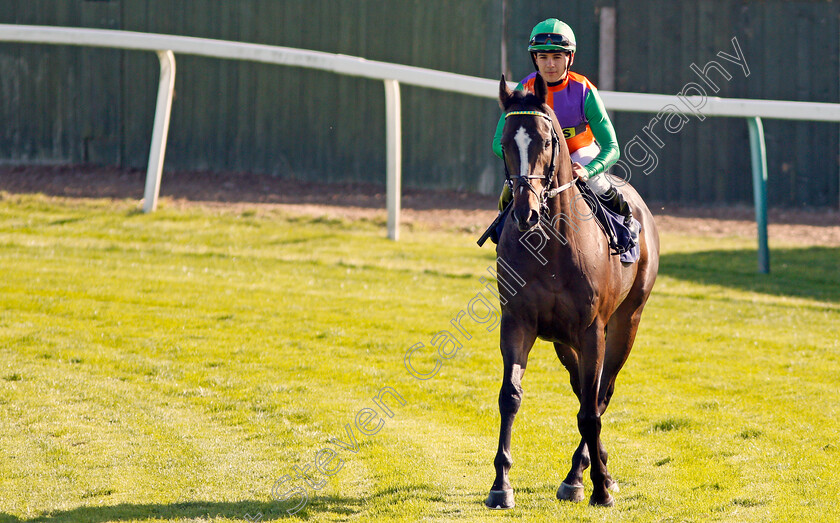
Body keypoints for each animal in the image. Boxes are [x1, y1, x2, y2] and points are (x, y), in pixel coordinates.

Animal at [486, 73, 664, 508]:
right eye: (505, 143)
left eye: (546, 141)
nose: (526, 211)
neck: (549, 247)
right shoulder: (517, 322)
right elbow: (510, 396)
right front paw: (501, 485)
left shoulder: (592, 330)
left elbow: (590, 410)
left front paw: (598, 488)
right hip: (564, 343)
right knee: (584, 391)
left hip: (626, 323)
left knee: (601, 394)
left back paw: (584, 475)